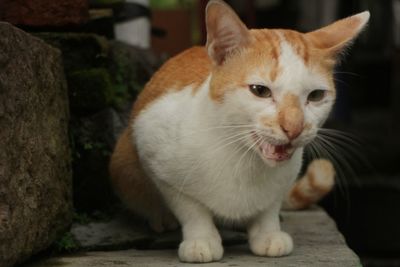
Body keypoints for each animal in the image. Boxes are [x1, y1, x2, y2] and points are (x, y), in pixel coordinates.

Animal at [108, 0, 368, 264]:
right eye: (260, 90)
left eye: (316, 96)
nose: (294, 127)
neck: (243, 159)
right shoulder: (154, 151)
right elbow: (191, 209)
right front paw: (201, 239)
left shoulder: (285, 178)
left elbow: (269, 206)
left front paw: (268, 232)